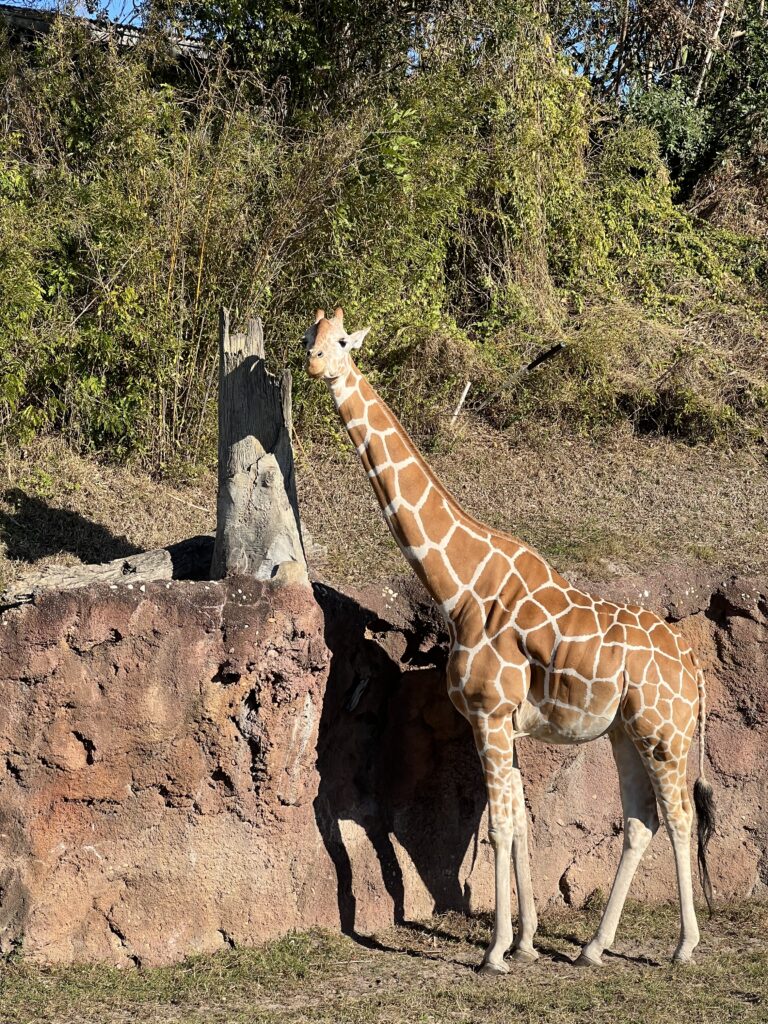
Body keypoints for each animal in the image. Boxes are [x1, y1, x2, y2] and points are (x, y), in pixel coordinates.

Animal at [303, 305, 720, 974]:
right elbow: (520, 822)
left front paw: (495, 950)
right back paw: (592, 947)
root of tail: (693, 664)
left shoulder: (488, 713)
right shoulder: (508, 723)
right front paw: (525, 940)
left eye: (342, 341)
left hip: (665, 731)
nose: (316, 365)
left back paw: (683, 947)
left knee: (679, 815)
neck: (460, 585)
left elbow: (497, 827)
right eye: (308, 339)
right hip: (626, 732)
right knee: (641, 820)